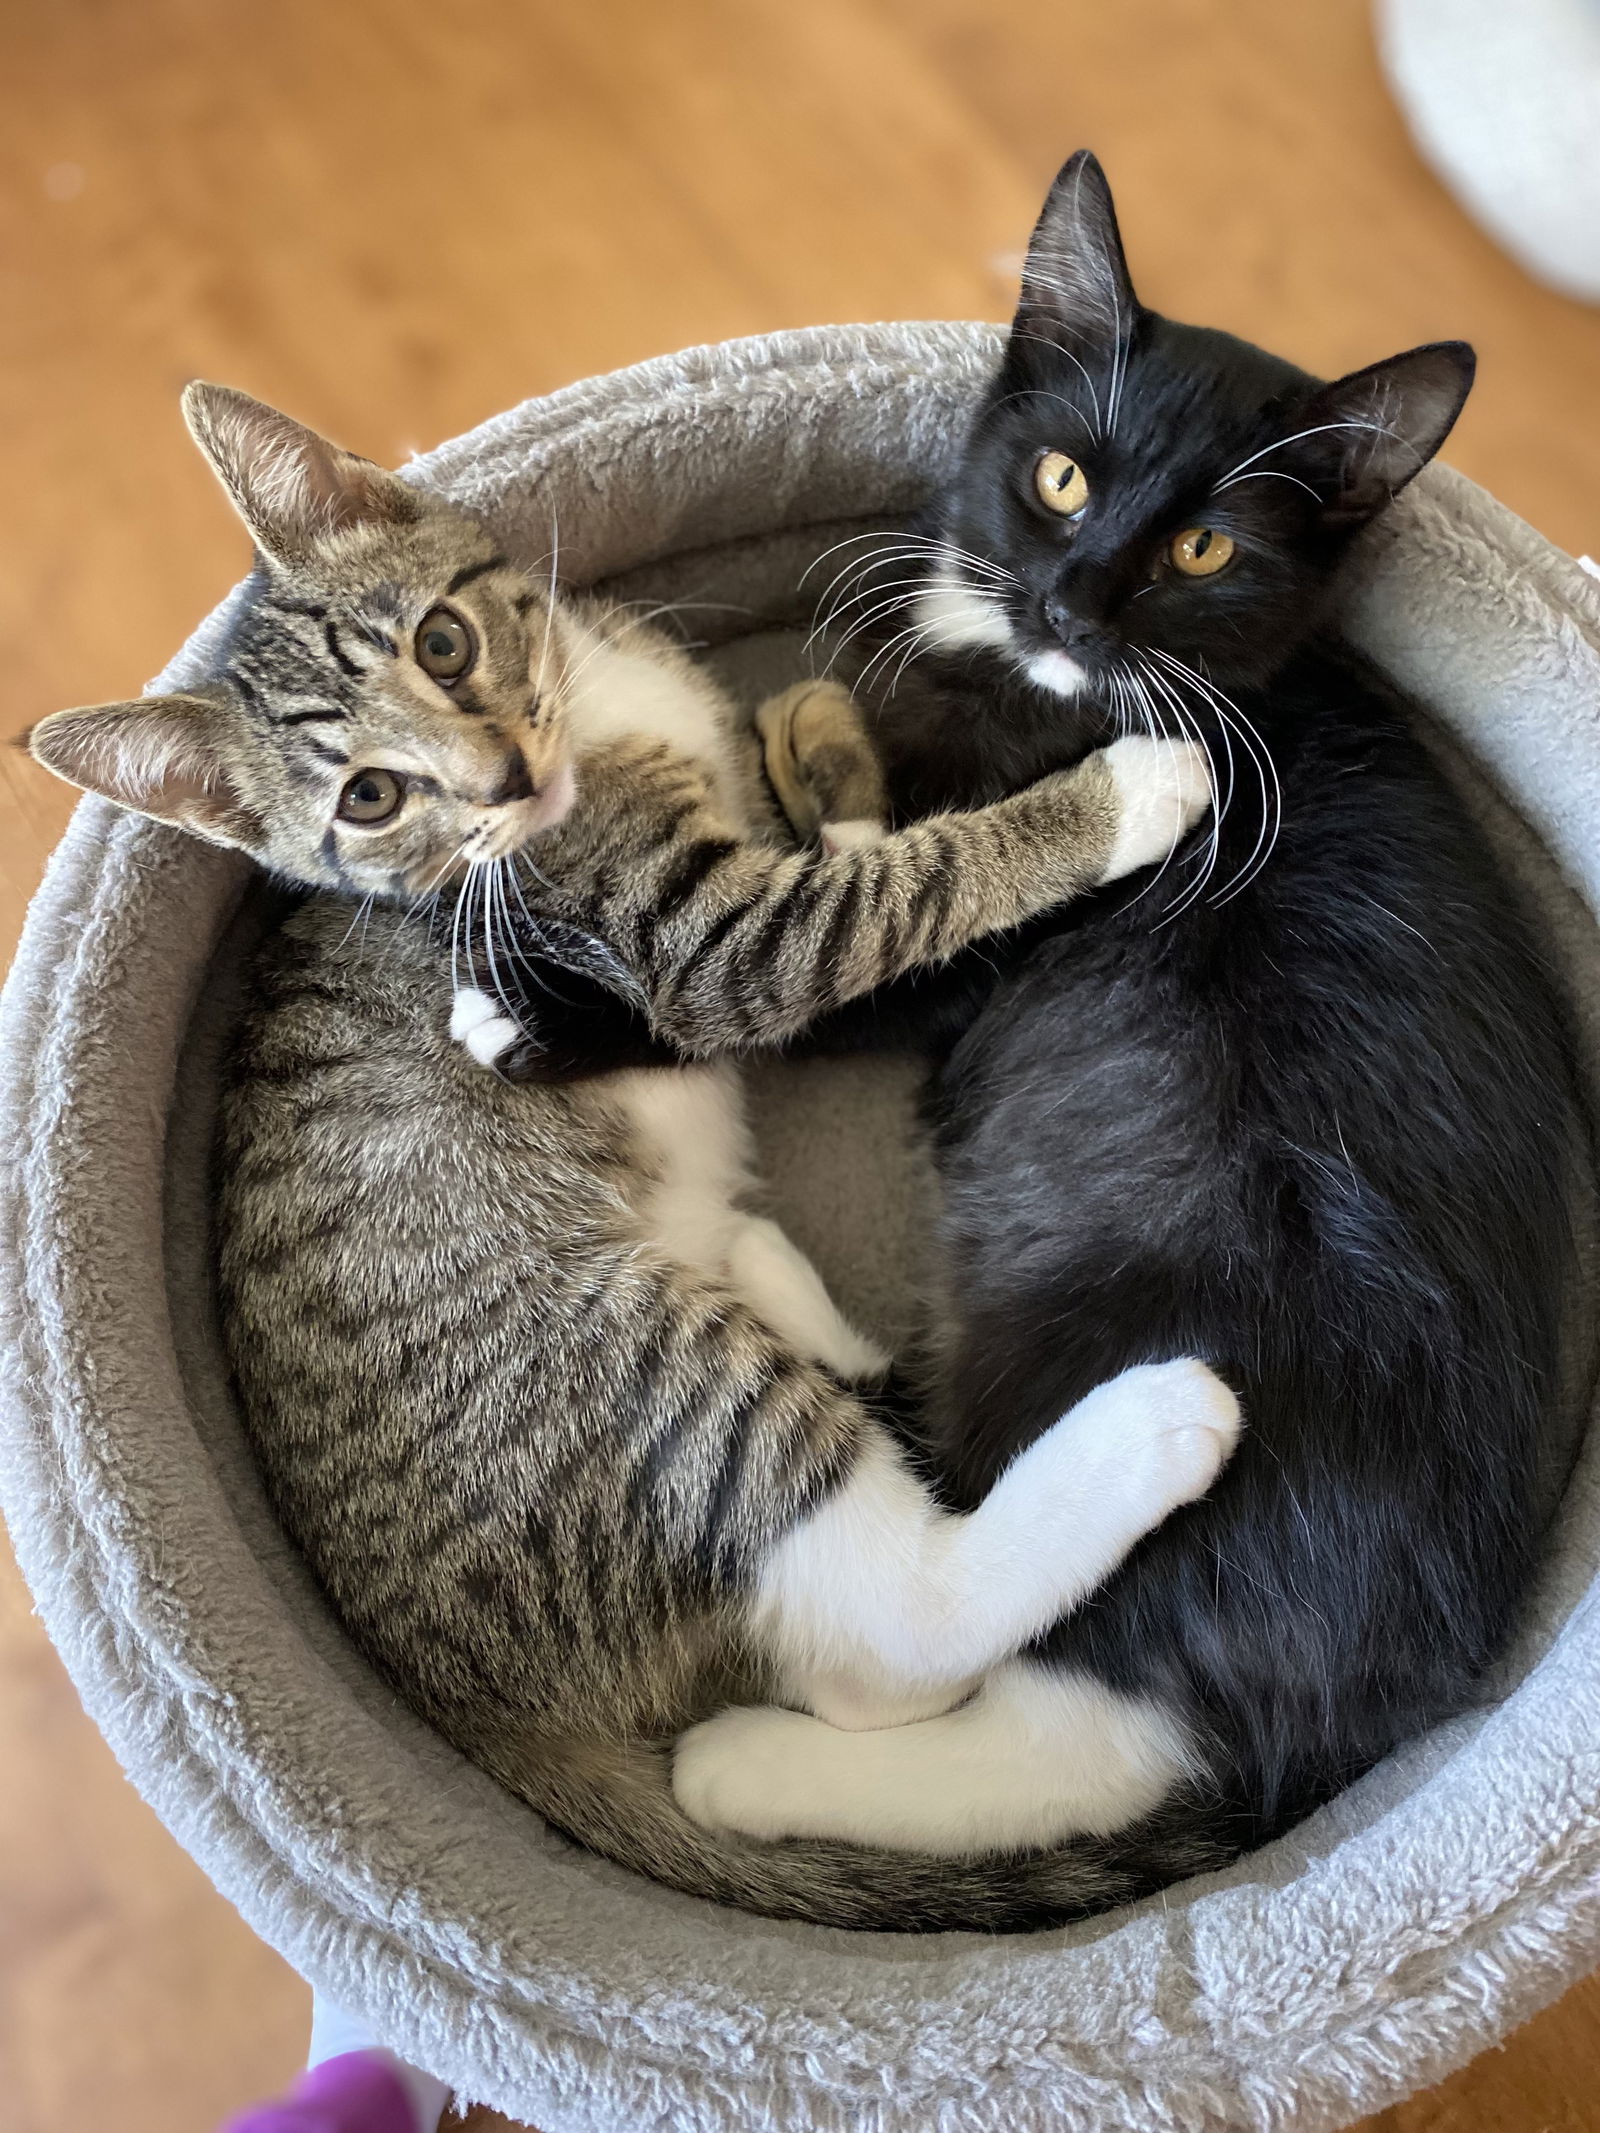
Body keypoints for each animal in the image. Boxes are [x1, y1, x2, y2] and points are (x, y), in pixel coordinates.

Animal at [25, 388, 1237, 1936]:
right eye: (370, 798)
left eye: (442, 643)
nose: (500, 775)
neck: (594, 730)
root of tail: (467, 1697)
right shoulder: (706, 945)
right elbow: (902, 894)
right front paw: (1118, 794)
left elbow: (846, 853)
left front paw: (826, 747)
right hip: (629, 1378)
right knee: (892, 1644)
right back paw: (1150, 1428)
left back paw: (767, 1258)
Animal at [669, 154, 1587, 1885]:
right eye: (1060, 479)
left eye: (1208, 549)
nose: (1068, 595)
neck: (1068, 699)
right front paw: (829, 741)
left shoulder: (974, 928)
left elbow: (845, 922)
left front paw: (809, 775)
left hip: (1108, 1296)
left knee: (988, 1689)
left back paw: (742, 1758)